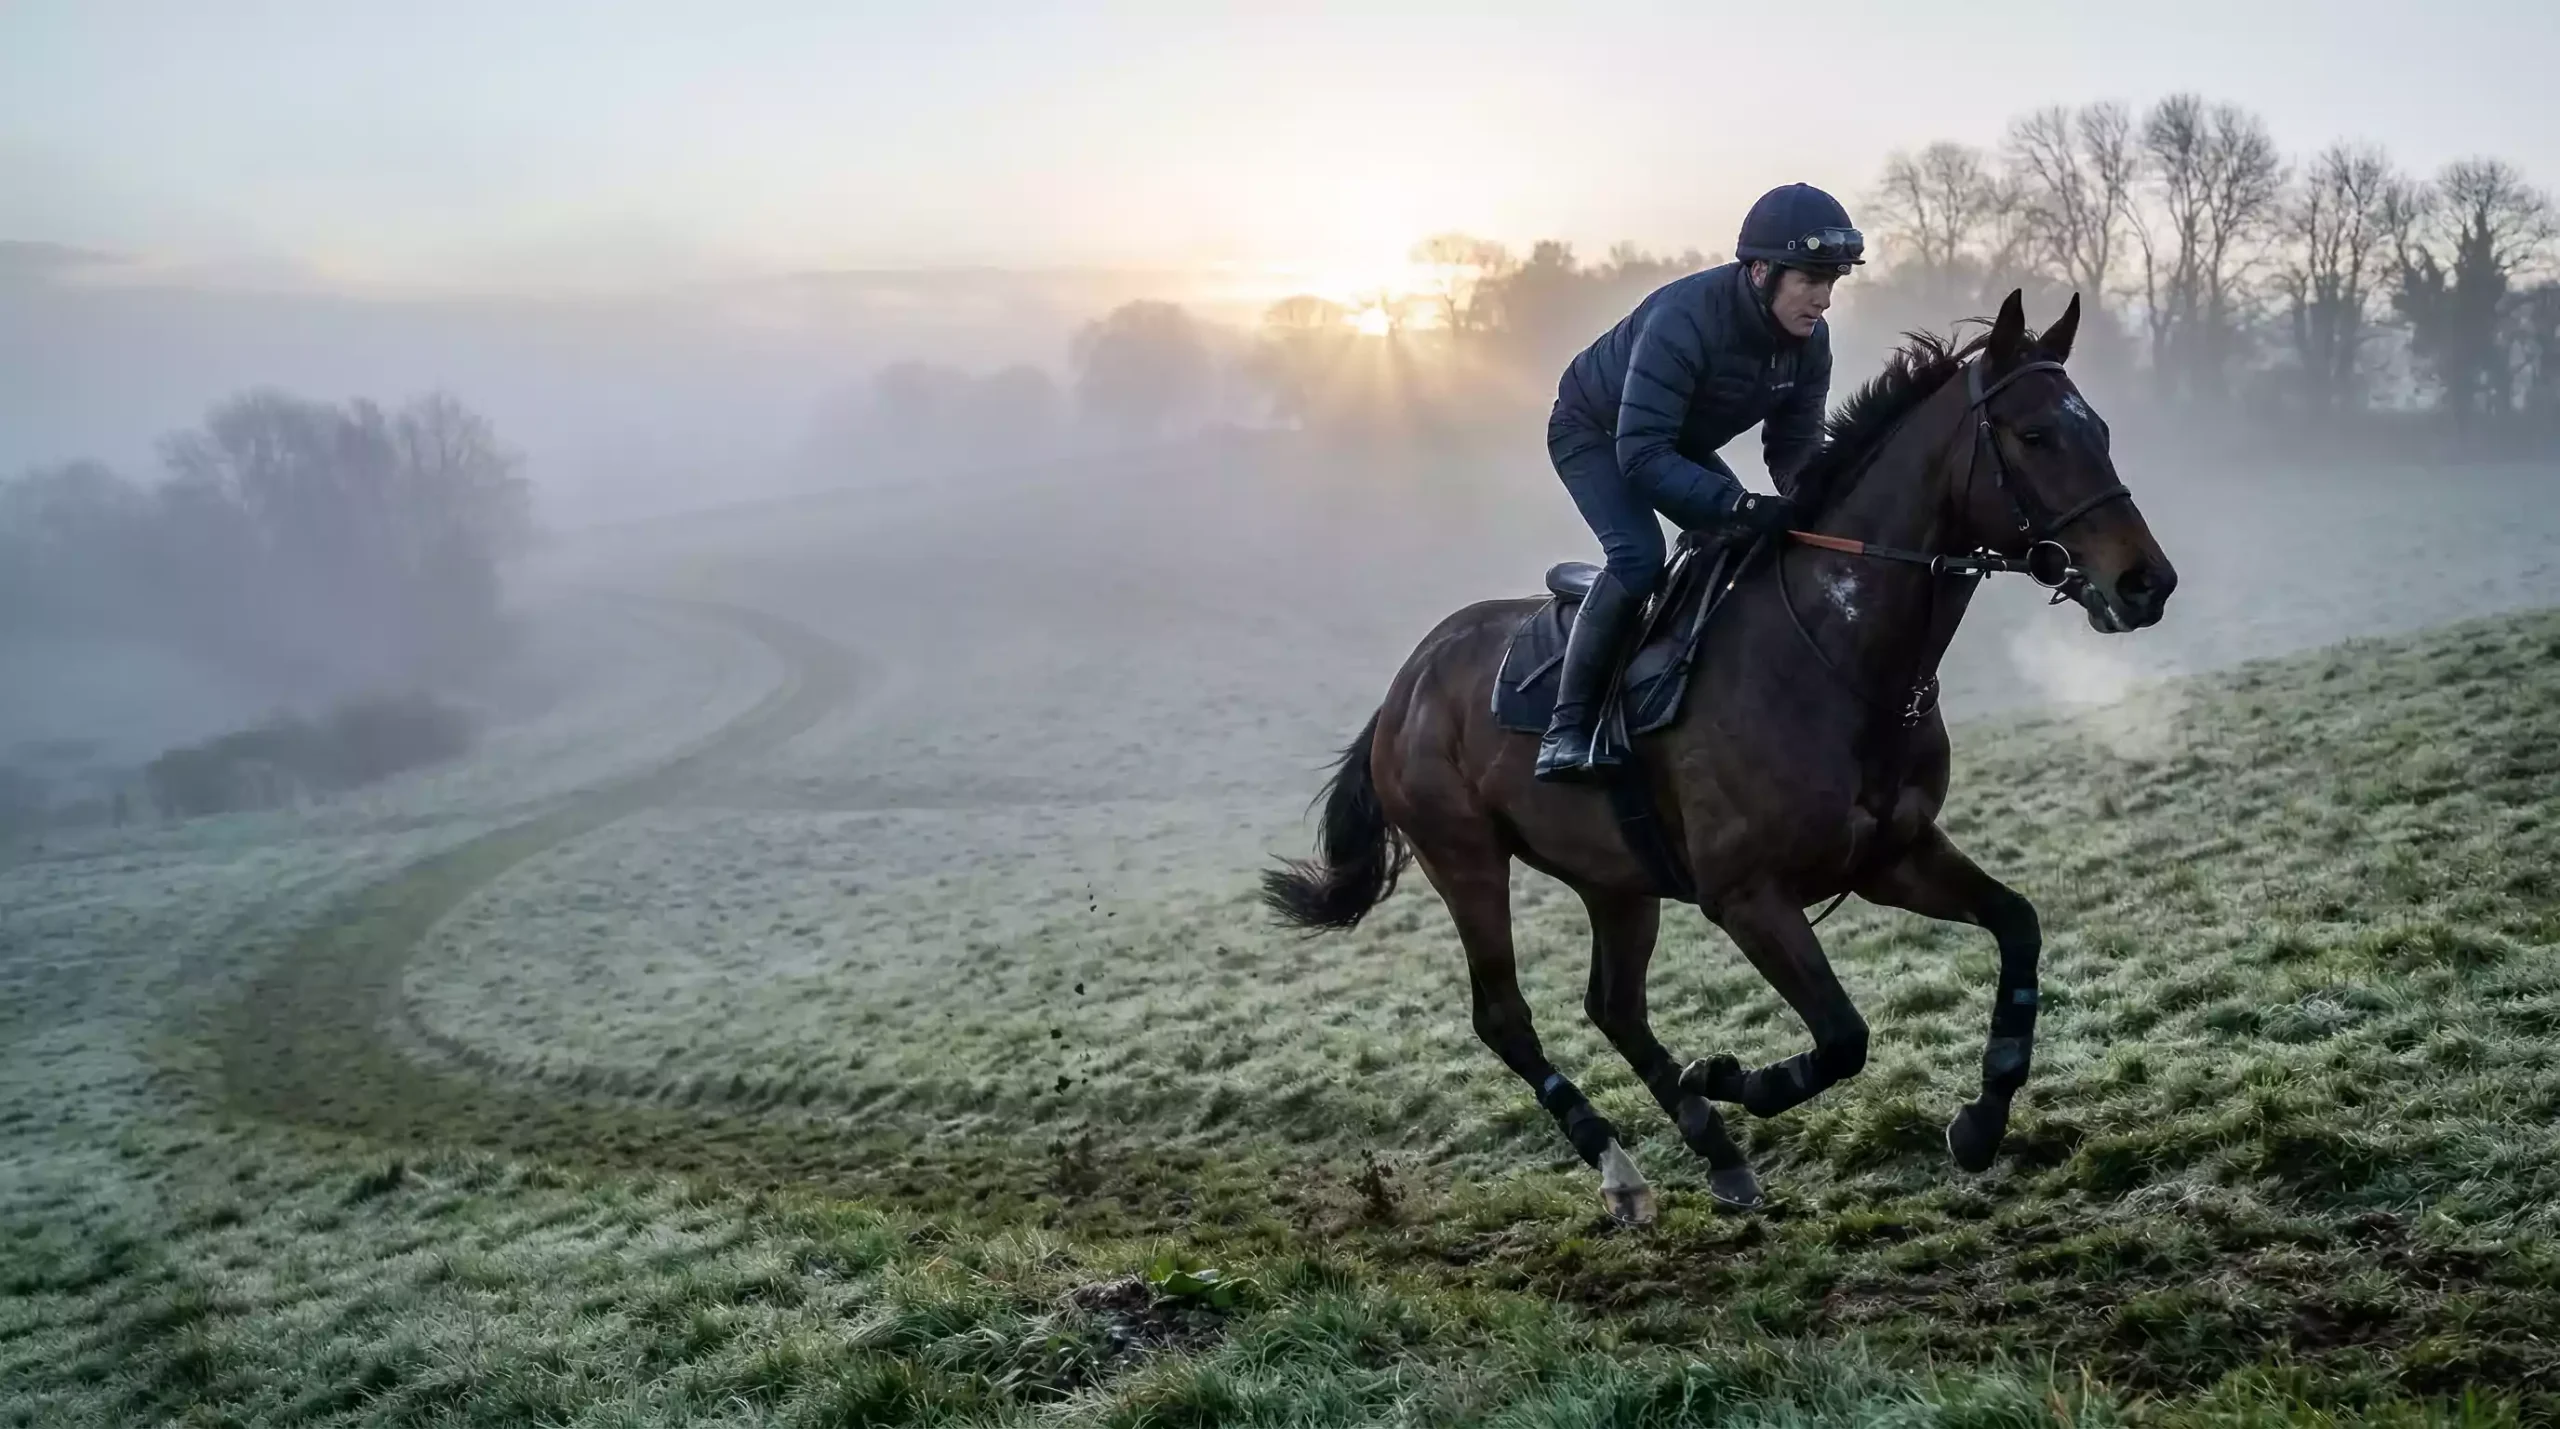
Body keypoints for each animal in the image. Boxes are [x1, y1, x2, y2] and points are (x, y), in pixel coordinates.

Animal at [1262, 291, 2177, 1222]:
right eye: (2035, 435)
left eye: (2099, 429)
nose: (2147, 582)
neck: (1836, 654)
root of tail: (1404, 686)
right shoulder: (1747, 895)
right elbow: (1843, 1037)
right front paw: (1730, 1073)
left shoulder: (1894, 854)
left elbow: (2018, 925)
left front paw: (1983, 1117)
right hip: (1465, 859)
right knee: (1505, 1016)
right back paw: (1622, 1166)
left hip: (1616, 876)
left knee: (1615, 1006)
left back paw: (1717, 1150)